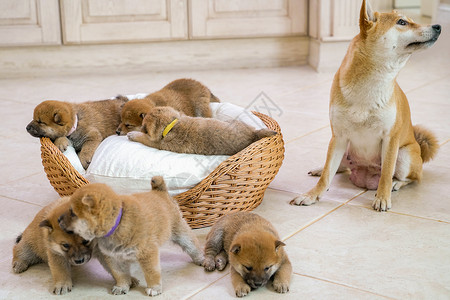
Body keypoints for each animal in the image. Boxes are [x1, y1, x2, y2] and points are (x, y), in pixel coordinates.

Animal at [58, 176, 204, 296]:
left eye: (72, 213)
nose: (58, 220)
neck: (117, 223)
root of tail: (160, 192)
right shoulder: (113, 258)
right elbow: (120, 274)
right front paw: (122, 286)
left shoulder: (147, 253)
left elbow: (151, 273)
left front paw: (154, 288)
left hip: (181, 233)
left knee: (193, 247)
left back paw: (201, 259)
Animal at [125, 106, 276, 156]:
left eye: (144, 124)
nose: (143, 115)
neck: (172, 124)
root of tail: (253, 135)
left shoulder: (158, 144)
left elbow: (144, 138)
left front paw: (133, 134)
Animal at [290, 0, 442, 211]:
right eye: (402, 22)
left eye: (409, 20)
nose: (438, 26)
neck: (369, 84)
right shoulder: (338, 136)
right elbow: (327, 175)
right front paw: (312, 194)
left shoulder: (390, 139)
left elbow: (386, 174)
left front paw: (383, 198)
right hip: (343, 148)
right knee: (337, 168)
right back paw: (320, 169)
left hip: (404, 155)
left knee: (411, 178)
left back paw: (396, 184)